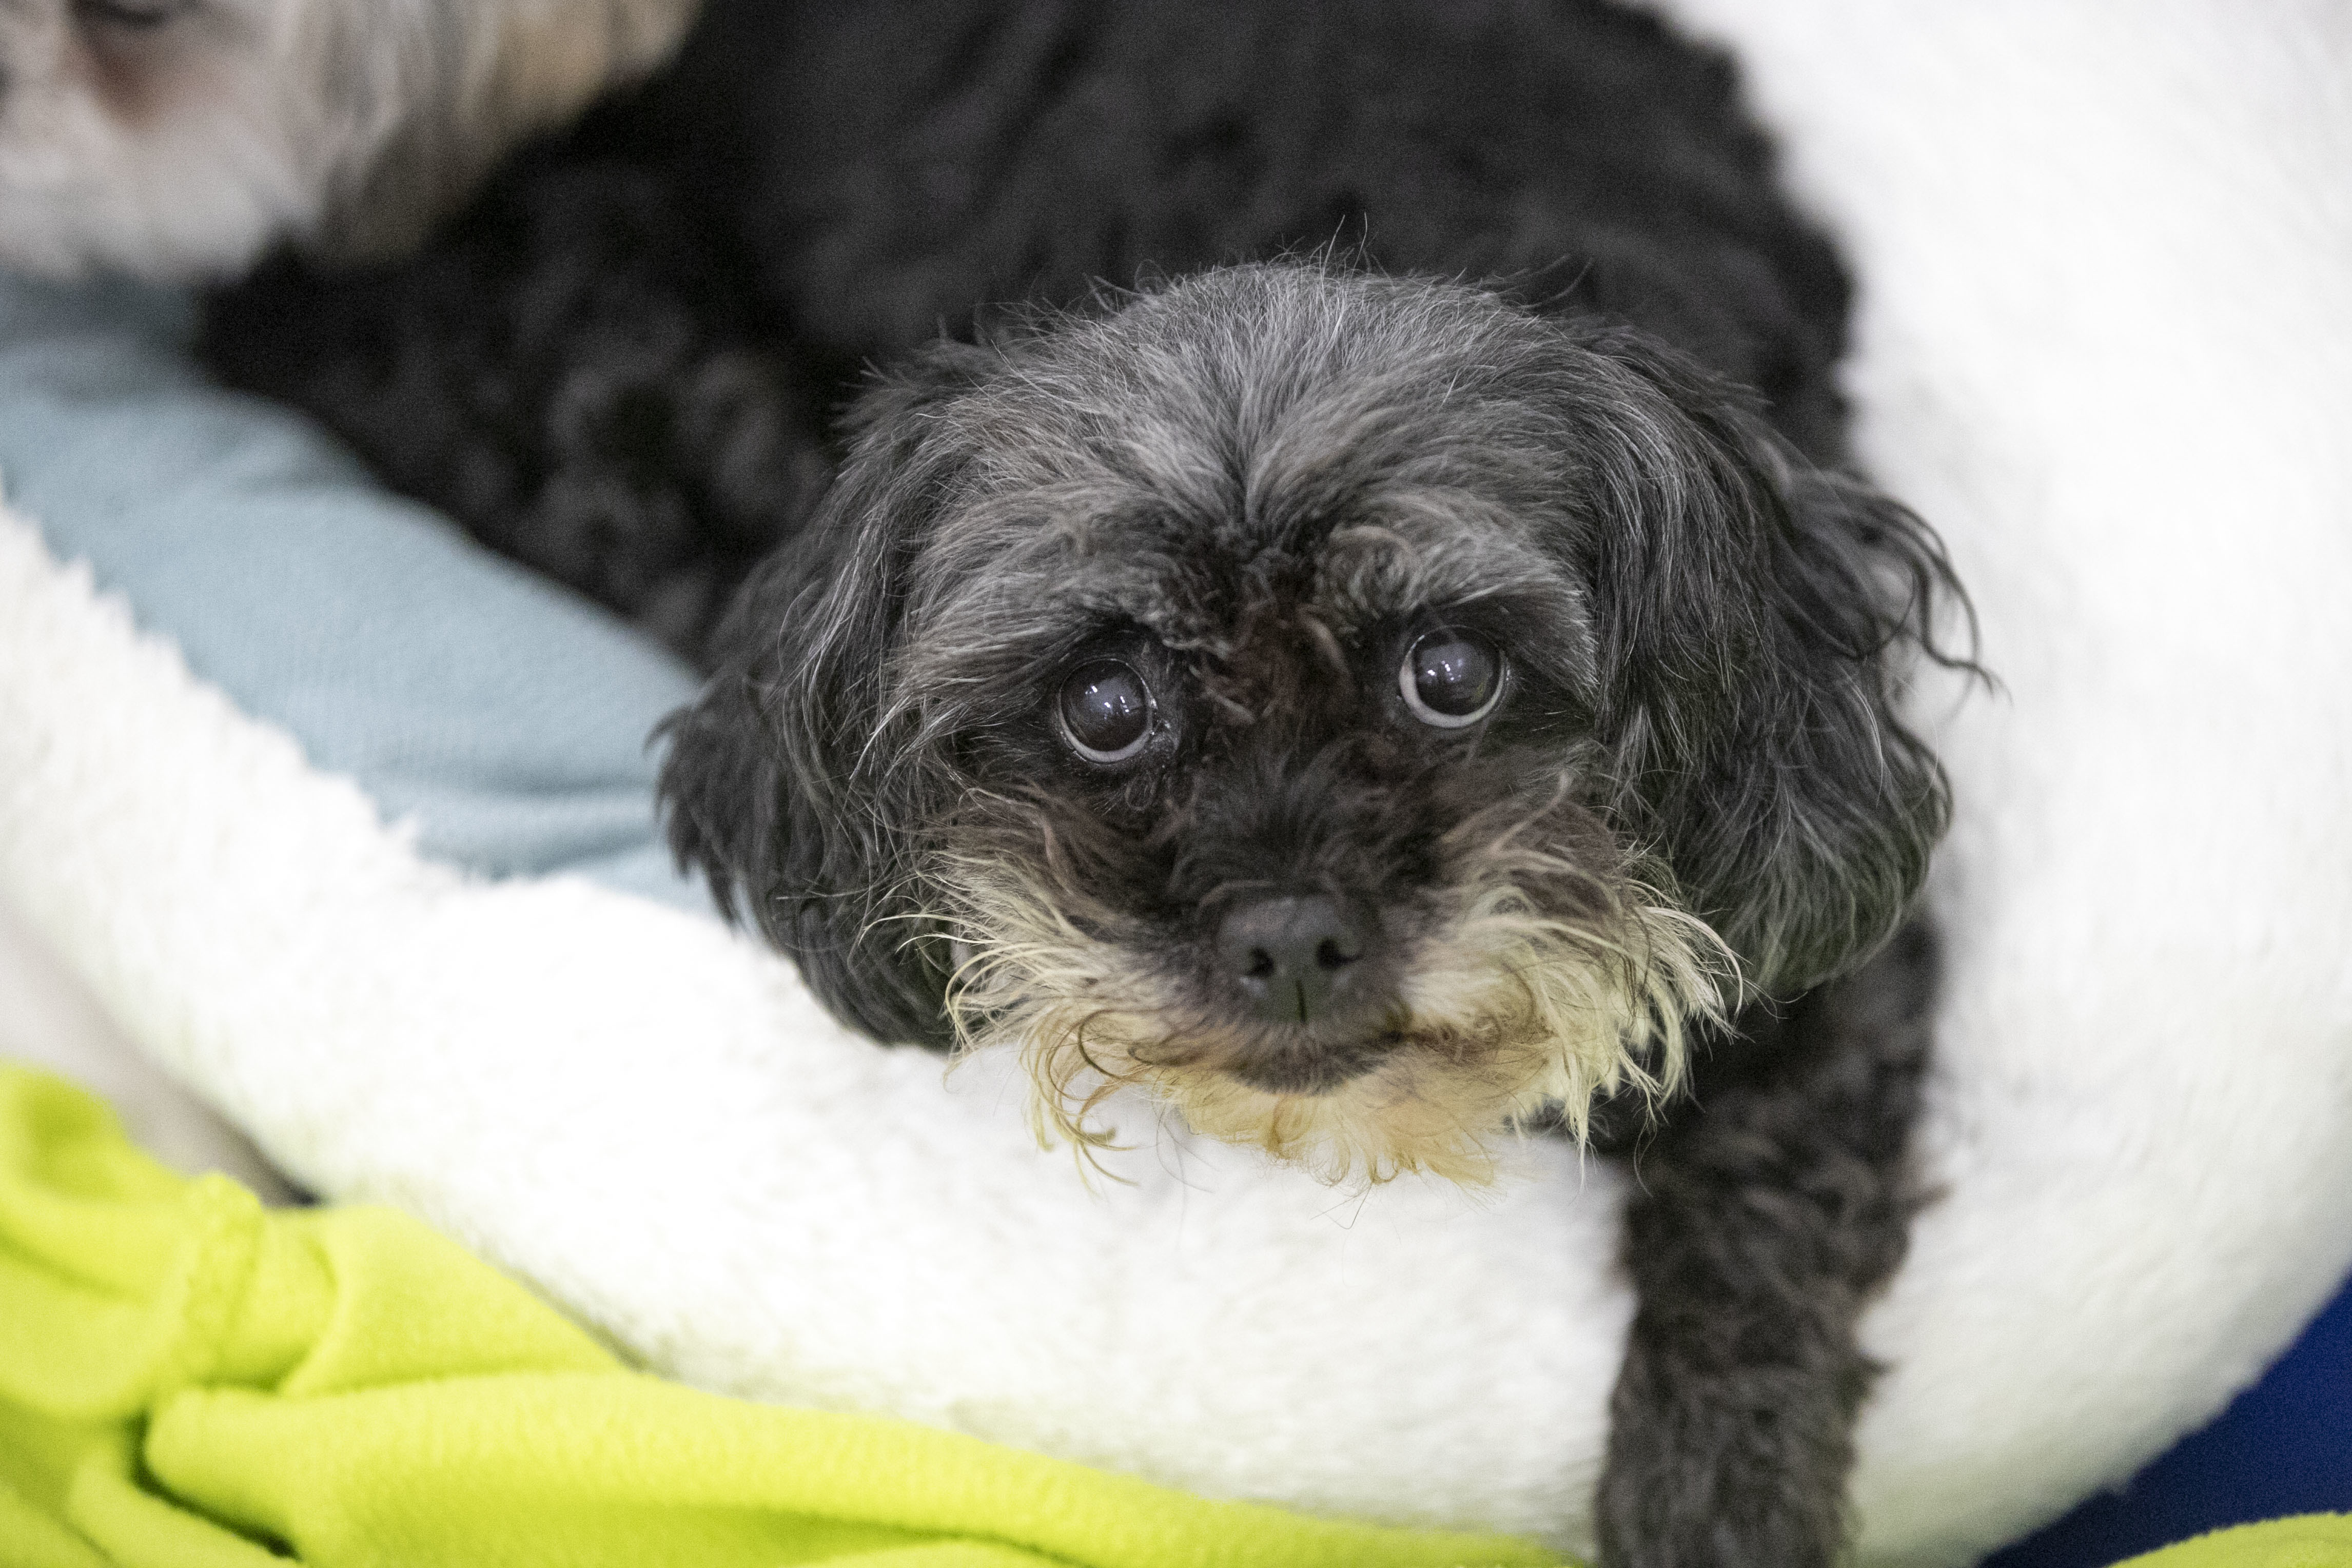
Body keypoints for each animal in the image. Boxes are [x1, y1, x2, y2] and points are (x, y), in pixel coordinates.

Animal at [207, 6, 1966, 1561]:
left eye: (1450, 672)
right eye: (1107, 702)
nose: (1290, 937)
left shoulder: (1828, 921)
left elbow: (1764, 1213)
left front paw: (1717, 1490)